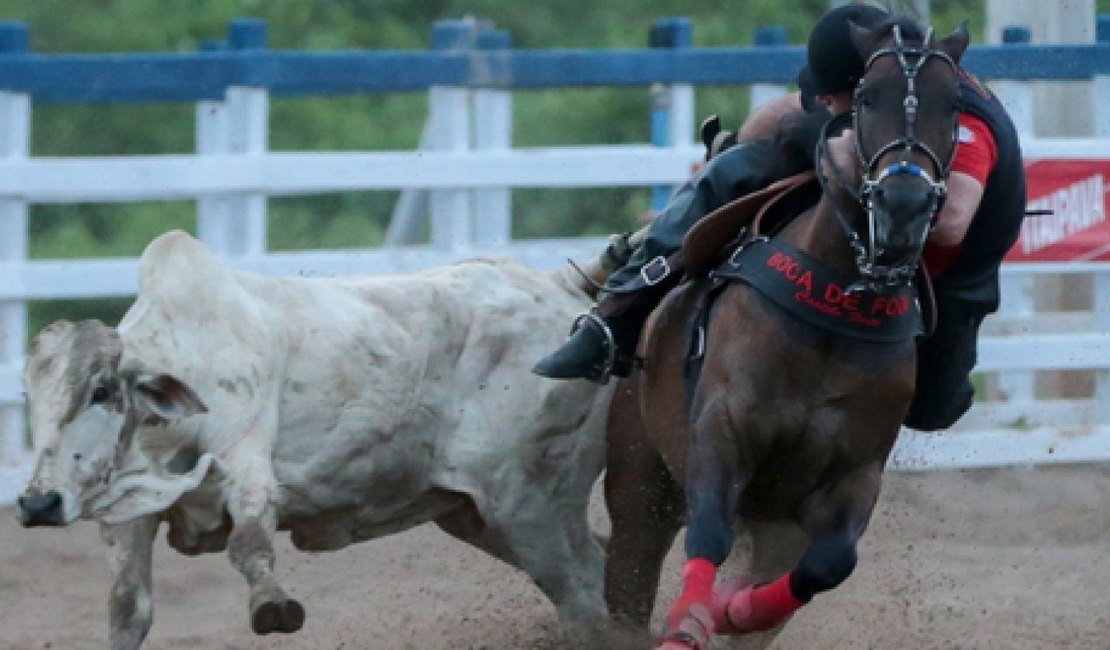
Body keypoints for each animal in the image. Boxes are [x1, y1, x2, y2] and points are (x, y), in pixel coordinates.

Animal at [17, 230, 612, 643]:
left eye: (101, 389)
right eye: (28, 394)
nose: (38, 503)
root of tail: (559, 286)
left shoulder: (246, 460)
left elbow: (249, 541)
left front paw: (272, 605)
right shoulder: (132, 517)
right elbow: (128, 609)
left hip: (532, 503)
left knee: (585, 592)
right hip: (479, 514)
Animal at [603, 15, 967, 647]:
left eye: (953, 107)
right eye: (867, 98)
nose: (902, 205)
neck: (832, 310)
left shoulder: (853, 474)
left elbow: (829, 563)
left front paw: (735, 609)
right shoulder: (721, 431)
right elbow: (708, 532)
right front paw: (690, 619)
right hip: (638, 485)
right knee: (627, 578)